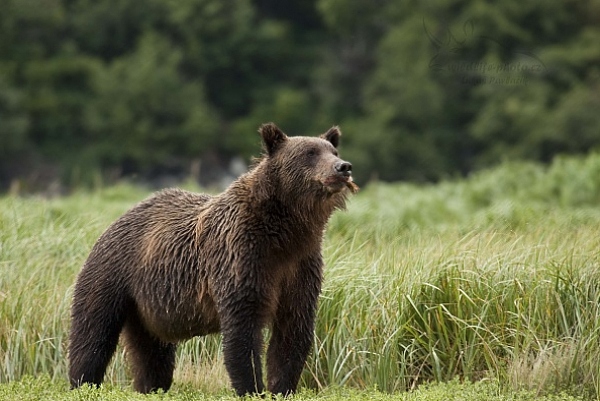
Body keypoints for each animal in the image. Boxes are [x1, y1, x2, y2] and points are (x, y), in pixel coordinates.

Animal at [67, 122, 356, 394]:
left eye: (333, 151)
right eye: (310, 152)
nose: (343, 167)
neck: (286, 229)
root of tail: (116, 220)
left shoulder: (300, 264)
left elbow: (293, 330)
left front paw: (281, 388)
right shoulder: (242, 255)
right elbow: (243, 330)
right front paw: (252, 387)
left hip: (148, 305)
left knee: (152, 353)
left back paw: (150, 386)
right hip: (113, 273)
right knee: (93, 334)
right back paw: (82, 382)